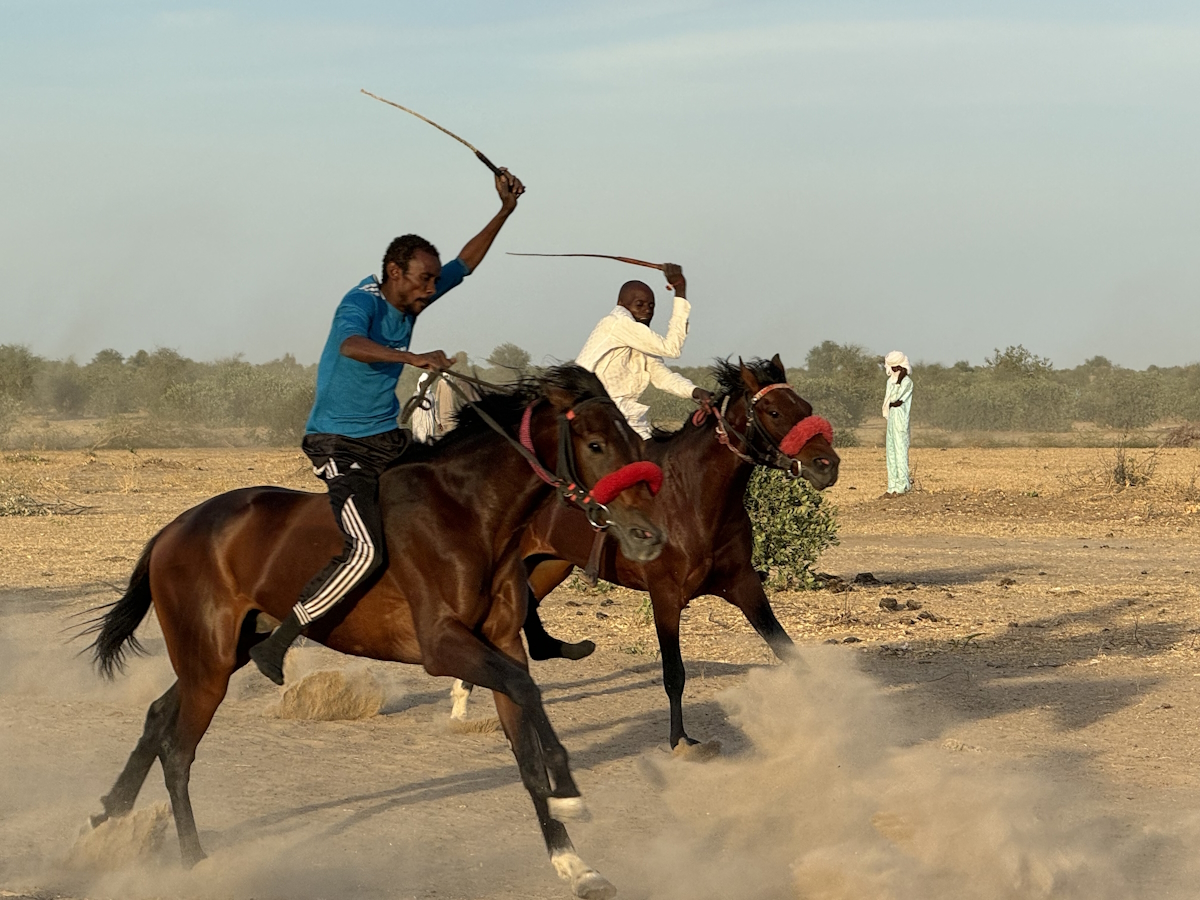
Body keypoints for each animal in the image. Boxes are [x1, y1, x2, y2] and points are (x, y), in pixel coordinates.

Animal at [84, 367, 667, 900]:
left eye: (635, 443)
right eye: (595, 444)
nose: (649, 536)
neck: (469, 514)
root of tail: (173, 527)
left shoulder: (502, 646)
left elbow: (525, 749)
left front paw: (574, 864)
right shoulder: (443, 647)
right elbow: (528, 695)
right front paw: (567, 789)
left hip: (221, 656)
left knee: (158, 715)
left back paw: (110, 815)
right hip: (208, 664)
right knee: (178, 751)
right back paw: (192, 861)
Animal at [453, 355, 840, 748]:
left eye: (806, 407)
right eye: (774, 412)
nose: (827, 464)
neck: (691, 497)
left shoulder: (742, 582)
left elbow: (787, 649)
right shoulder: (665, 592)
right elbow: (674, 673)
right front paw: (680, 739)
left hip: (550, 564)